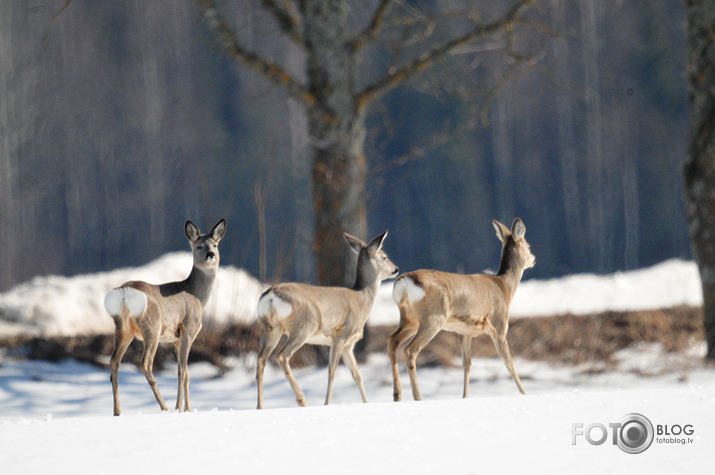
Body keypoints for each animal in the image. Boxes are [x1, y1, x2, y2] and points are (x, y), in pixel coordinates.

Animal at [103, 219, 227, 416]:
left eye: (215, 244)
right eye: (199, 246)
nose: (210, 255)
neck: (197, 296)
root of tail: (124, 292)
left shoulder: (175, 339)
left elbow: (183, 373)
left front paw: (185, 408)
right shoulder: (188, 329)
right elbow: (183, 371)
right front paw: (182, 409)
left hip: (123, 329)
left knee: (114, 361)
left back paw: (117, 411)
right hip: (152, 326)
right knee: (145, 364)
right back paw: (165, 407)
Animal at [258, 231, 400, 410]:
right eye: (384, 256)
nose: (396, 269)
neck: (362, 298)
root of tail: (271, 294)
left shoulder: (348, 345)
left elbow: (357, 374)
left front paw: (366, 402)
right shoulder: (341, 335)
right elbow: (332, 371)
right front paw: (326, 403)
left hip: (270, 329)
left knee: (261, 359)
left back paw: (260, 406)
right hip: (304, 326)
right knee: (282, 356)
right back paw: (302, 400)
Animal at [388, 219, 536, 402]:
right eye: (528, 246)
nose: (534, 259)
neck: (504, 288)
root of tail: (403, 283)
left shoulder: (465, 332)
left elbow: (467, 364)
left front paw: (464, 397)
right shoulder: (499, 325)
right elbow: (509, 363)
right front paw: (525, 393)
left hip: (410, 320)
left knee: (392, 341)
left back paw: (397, 395)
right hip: (433, 318)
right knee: (409, 351)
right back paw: (418, 397)